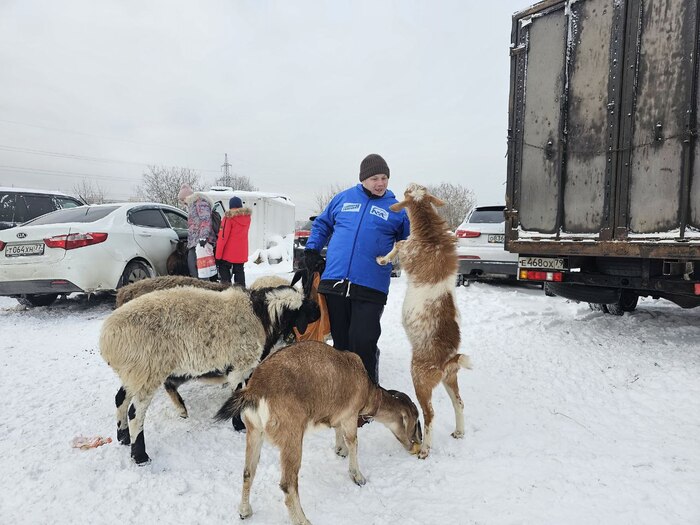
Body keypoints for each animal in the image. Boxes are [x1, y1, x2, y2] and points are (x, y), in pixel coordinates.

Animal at [100, 284, 320, 464]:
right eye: (303, 306)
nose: (318, 309)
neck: (260, 315)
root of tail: (107, 339)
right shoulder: (238, 366)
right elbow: (237, 395)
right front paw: (239, 425)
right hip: (147, 371)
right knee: (135, 413)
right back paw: (140, 456)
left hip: (133, 373)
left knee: (120, 399)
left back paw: (123, 437)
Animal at [215, 340, 422, 525]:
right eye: (415, 423)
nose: (415, 446)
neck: (368, 392)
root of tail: (255, 390)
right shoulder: (350, 415)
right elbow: (353, 441)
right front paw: (358, 477)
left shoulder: (339, 412)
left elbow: (339, 431)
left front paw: (340, 450)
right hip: (291, 437)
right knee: (287, 484)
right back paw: (303, 520)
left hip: (254, 431)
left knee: (248, 472)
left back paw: (245, 511)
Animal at [377, 183, 472, 459]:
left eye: (408, 193)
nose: (409, 184)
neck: (431, 236)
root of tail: (449, 358)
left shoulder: (409, 251)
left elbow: (399, 243)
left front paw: (382, 259)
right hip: (450, 378)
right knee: (459, 402)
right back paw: (459, 432)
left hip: (420, 379)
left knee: (430, 414)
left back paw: (426, 449)